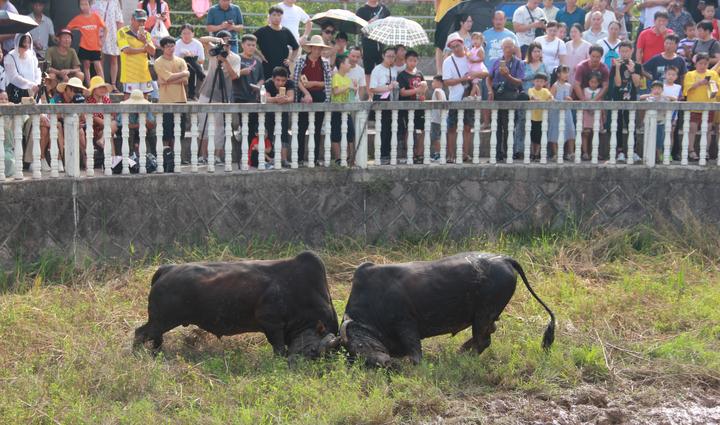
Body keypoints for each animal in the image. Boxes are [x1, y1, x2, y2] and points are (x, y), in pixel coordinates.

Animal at [134, 250, 342, 356]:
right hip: (162, 320)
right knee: (140, 333)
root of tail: (167, 269)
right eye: (315, 352)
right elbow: (279, 348)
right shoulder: (271, 323)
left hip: (160, 322)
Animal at [338, 253, 556, 366]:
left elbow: (415, 352)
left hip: (484, 314)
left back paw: (462, 356)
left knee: (483, 340)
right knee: (488, 334)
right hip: (486, 315)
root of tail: (504, 258)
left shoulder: (406, 324)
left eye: (360, 345)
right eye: (353, 352)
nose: (384, 363)